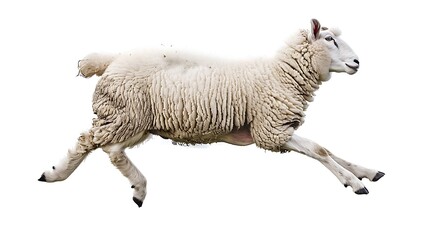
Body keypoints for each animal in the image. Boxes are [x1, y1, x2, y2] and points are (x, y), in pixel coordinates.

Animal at [38, 18, 382, 207]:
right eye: (330, 39)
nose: (357, 63)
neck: (279, 74)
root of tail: (111, 59)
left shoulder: (277, 128)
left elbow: (329, 151)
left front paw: (365, 171)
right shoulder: (270, 129)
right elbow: (320, 150)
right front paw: (354, 183)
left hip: (134, 119)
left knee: (111, 149)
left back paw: (137, 188)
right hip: (126, 113)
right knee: (90, 141)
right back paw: (56, 174)